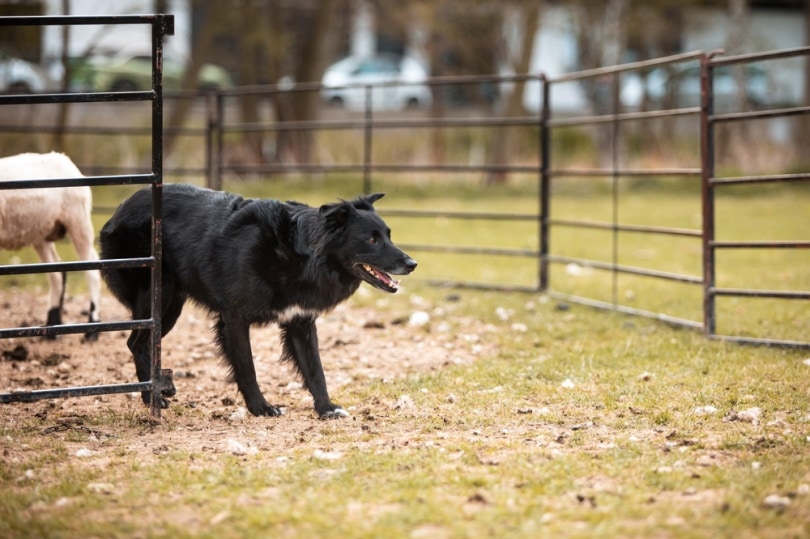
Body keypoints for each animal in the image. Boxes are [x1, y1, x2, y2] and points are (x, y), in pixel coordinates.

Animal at [0, 150, 101, 340]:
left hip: (78, 219)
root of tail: (63, 158)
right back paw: (52, 328)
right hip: (41, 231)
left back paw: (92, 329)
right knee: (56, 272)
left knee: (92, 270)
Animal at [99, 184, 416, 420]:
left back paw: (159, 390)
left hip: (172, 304)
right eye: (371, 240)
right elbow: (247, 367)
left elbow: (315, 369)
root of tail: (121, 208)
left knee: (140, 343)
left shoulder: (300, 321)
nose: (412, 264)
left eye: (388, 235)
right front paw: (260, 407)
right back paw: (151, 397)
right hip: (160, 296)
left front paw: (326, 408)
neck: (299, 253)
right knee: (138, 342)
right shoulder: (234, 318)